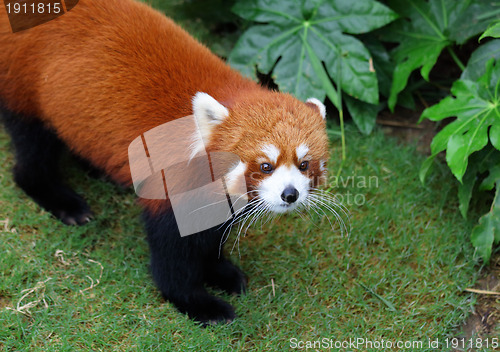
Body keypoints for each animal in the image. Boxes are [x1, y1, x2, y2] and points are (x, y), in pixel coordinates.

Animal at [0, 0, 330, 324]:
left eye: (304, 164)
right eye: (265, 166)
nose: (290, 194)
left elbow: (210, 235)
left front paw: (220, 271)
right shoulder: (172, 184)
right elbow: (173, 253)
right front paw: (197, 303)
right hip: (25, 85)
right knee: (33, 149)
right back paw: (61, 201)